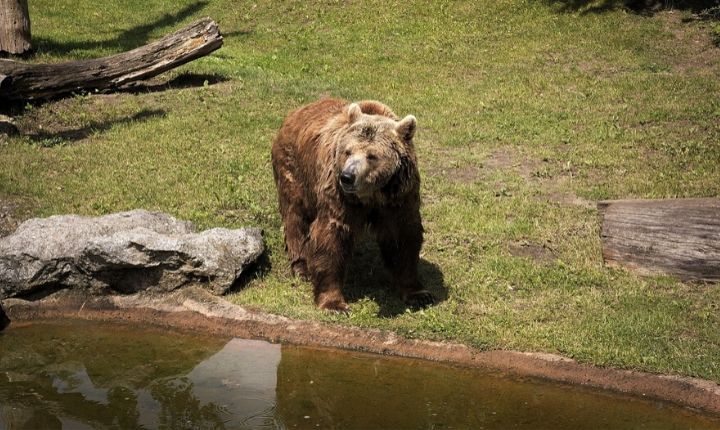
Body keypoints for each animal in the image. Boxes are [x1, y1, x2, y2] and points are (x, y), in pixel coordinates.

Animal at [272, 98, 434, 310]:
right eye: (347, 151)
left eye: (372, 155)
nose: (347, 176)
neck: (372, 194)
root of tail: (297, 111)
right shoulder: (338, 195)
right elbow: (331, 236)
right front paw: (334, 303)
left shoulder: (399, 196)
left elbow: (402, 238)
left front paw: (418, 293)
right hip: (295, 171)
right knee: (295, 217)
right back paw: (302, 266)